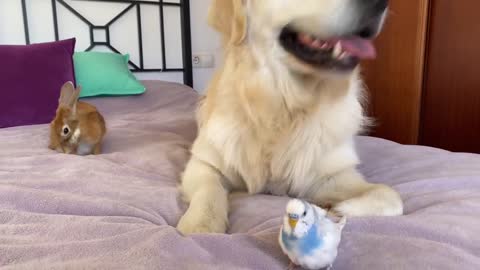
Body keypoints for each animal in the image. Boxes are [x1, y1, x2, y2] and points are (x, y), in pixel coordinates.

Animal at [176, 0, 402, 234]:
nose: (380, 2)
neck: (284, 106)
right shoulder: (205, 164)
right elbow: (208, 191)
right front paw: (201, 225)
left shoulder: (332, 175)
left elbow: (390, 194)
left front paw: (341, 208)